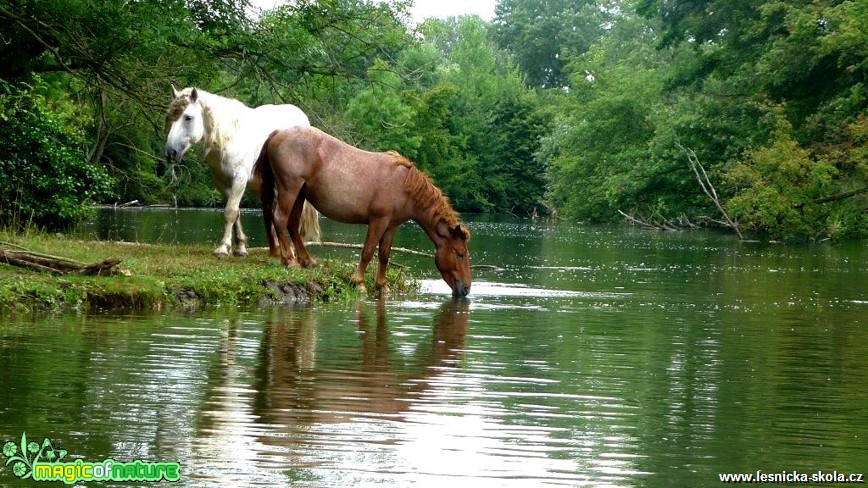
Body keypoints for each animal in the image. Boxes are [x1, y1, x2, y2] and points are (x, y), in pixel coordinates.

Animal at [163, 86, 318, 258]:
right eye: (169, 116)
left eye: (188, 117)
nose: (170, 152)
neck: (228, 138)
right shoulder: (222, 183)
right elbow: (235, 212)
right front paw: (240, 248)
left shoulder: (240, 180)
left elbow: (230, 212)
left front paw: (223, 248)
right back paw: (278, 249)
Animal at [256, 126, 472, 298]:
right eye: (460, 253)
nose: (467, 289)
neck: (404, 186)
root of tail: (278, 133)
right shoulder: (378, 221)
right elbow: (368, 252)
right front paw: (358, 283)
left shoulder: (391, 226)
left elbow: (384, 254)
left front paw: (382, 286)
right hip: (289, 189)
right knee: (280, 219)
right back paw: (289, 260)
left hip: (300, 193)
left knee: (292, 223)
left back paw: (307, 261)